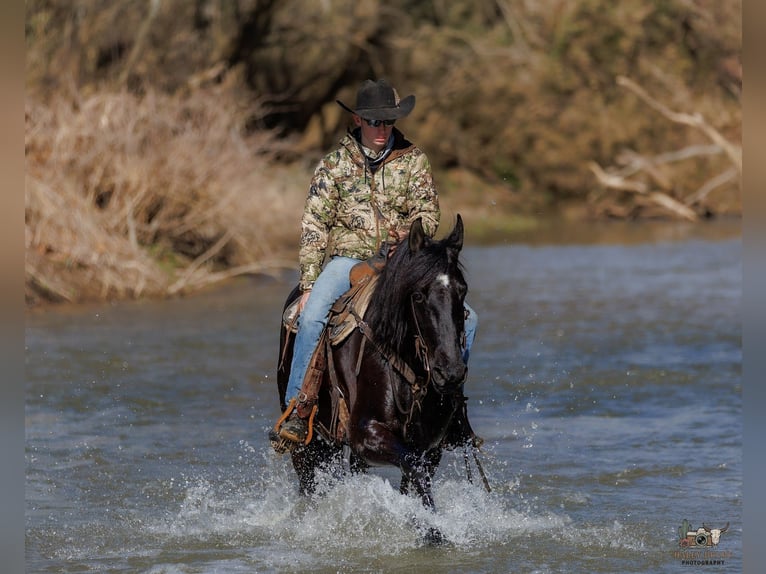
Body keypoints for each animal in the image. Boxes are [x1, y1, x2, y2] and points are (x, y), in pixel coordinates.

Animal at [275, 215, 470, 541]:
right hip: (308, 445)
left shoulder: (429, 446)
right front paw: (433, 532)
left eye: (462, 291)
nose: (450, 372)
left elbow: (415, 478)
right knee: (310, 485)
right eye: (418, 295)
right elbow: (414, 470)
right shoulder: (366, 434)